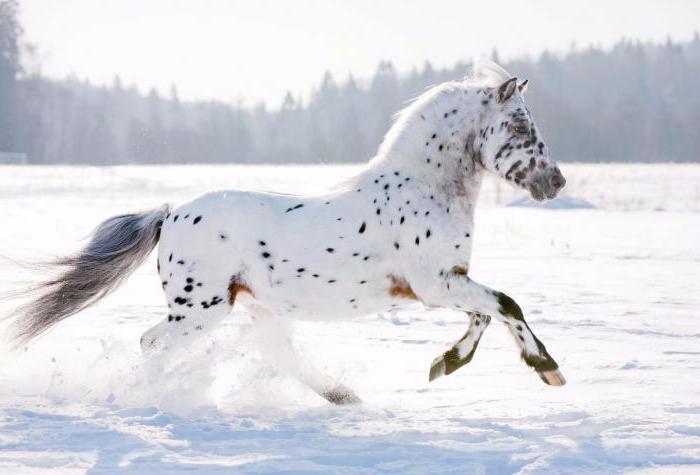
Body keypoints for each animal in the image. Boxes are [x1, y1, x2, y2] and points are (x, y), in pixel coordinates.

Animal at [5, 59, 568, 406]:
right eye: (520, 125)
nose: (555, 181)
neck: (423, 188)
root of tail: (170, 215)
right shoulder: (434, 284)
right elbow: (507, 305)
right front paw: (547, 367)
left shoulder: (448, 281)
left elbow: (486, 314)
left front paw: (444, 364)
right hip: (201, 309)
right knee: (152, 344)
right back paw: (161, 398)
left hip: (257, 307)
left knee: (281, 356)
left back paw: (346, 398)